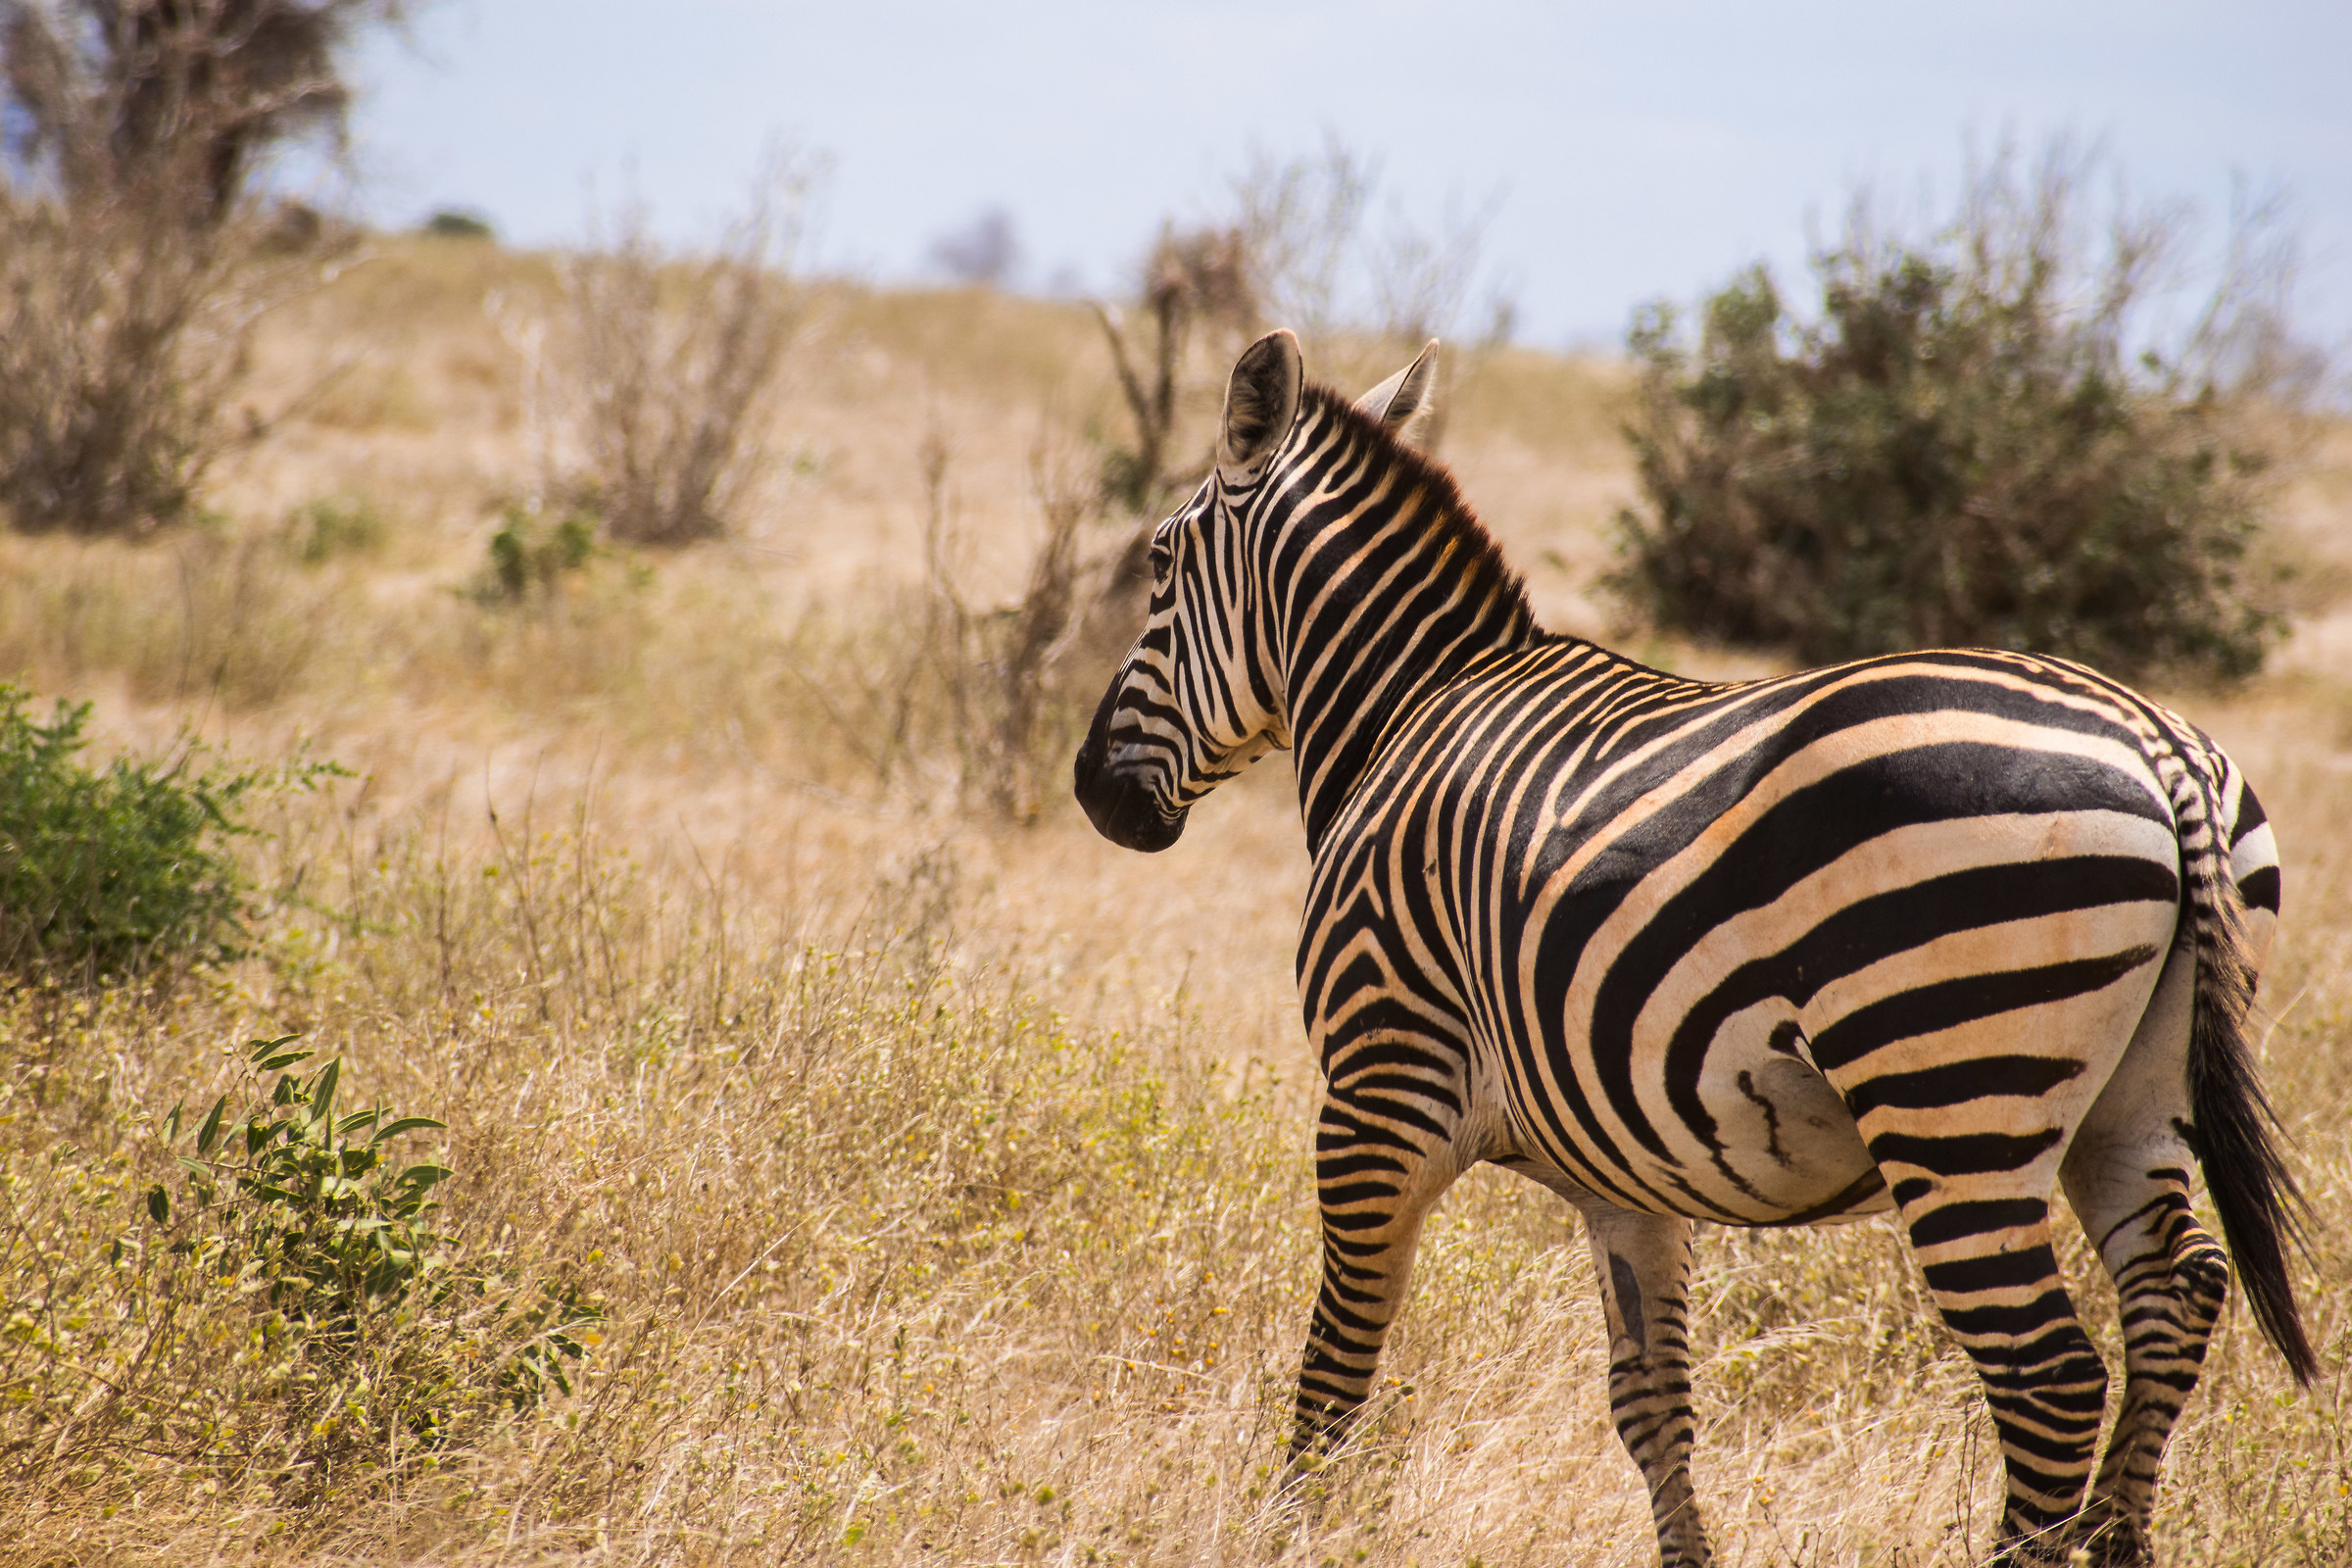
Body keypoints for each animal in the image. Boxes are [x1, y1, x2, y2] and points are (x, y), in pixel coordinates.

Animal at [1071, 330, 2316, 1566]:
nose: (1092, 793)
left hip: (1951, 1093)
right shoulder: (1625, 1170)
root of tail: (2155, 742)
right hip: (2131, 1098)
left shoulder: (1378, 1086)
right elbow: (1652, 1402)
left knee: (2050, 1376)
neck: (1410, 711)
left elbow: (1335, 1370)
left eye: (1159, 564)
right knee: (2175, 1300)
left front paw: (1291, 1533)